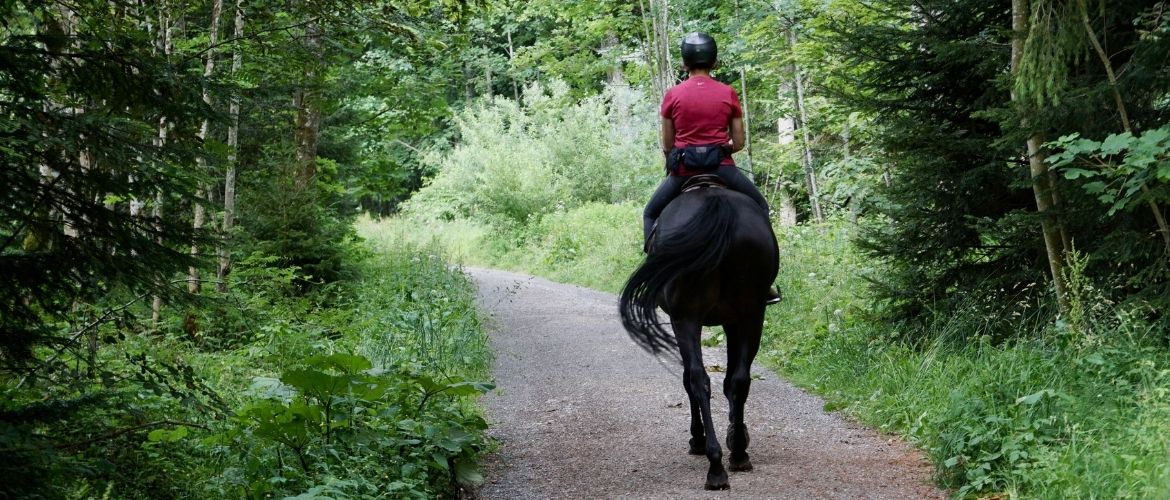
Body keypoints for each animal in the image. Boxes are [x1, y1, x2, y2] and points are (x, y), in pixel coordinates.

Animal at [622, 181, 776, 491]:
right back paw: (737, 454)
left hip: (687, 317)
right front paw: (736, 432)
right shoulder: (734, 320)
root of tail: (716, 203)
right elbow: (731, 381)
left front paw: (699, 437)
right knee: (738, 379)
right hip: (752, 314)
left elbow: (691, 378)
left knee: (697, 379)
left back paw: (714, 462)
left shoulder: (685, 319)